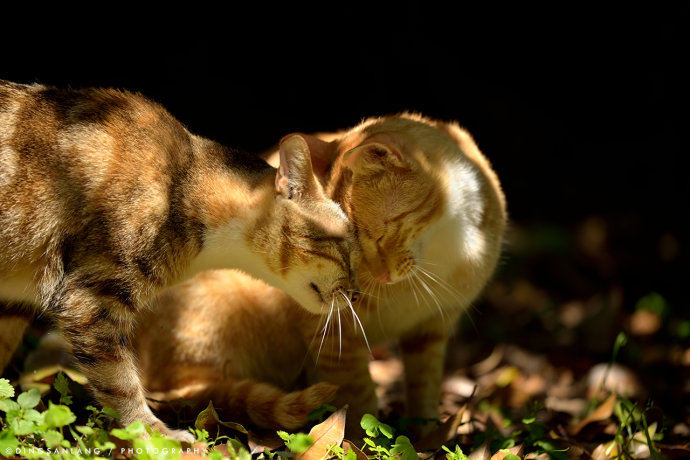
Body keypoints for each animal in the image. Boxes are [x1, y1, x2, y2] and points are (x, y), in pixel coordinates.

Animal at [1, 80, 360, 442]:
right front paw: (155, 435)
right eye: (347, 248)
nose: (357, 294)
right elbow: (120, 384)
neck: (184, 182)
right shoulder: (88, 300)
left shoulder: (14, 299)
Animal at [136, 111, 506, 438]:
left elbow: (424, 389)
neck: (444, 243)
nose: (369, 282)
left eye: (368, 236)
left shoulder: (430, 332)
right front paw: (362, 442)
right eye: (345, 242)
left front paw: (428, 437)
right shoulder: (333, 332)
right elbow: (358, 397)